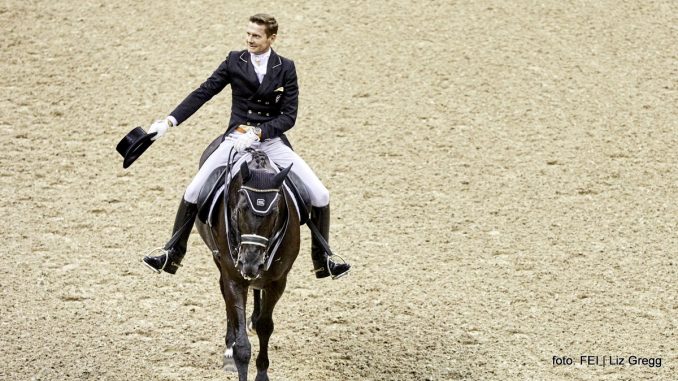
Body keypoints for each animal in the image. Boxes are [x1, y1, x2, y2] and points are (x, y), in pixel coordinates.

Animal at [194, 145, 300, 380]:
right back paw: (229, 347)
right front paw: (234, 352)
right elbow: (242, 347)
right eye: (241, 208)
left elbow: (265, 326)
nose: (250, 263)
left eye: (275, 212)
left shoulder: (278, 281)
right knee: (226, 297)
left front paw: (262, 373)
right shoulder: (234, 278)